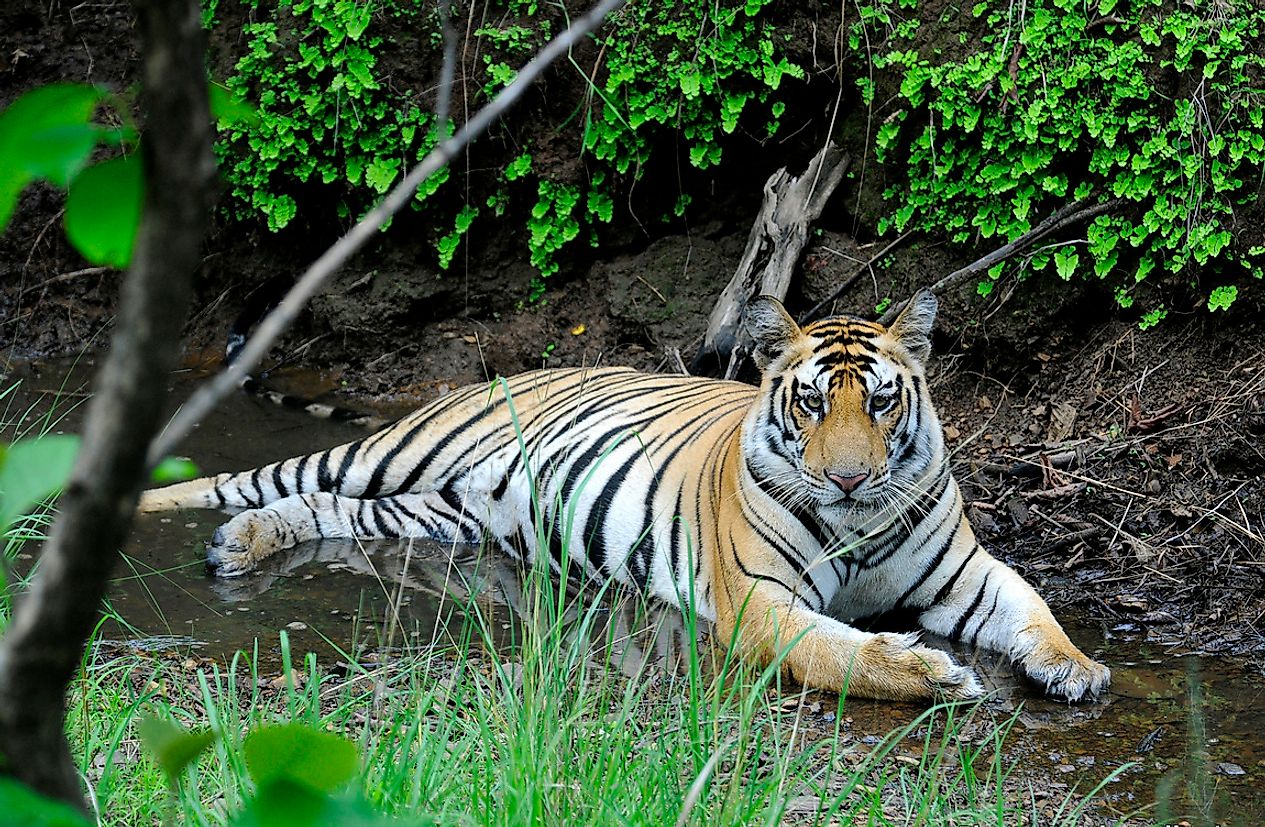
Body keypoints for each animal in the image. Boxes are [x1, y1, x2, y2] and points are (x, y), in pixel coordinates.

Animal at [138, 292, 1108, 708]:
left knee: (326, 509)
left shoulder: (967, 575)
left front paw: (1075, 667)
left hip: (438, 510)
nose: (845, 478)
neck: (859, 523)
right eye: (807, 402)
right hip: (390, 454)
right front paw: (928, 673)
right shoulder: (761, 600)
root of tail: (497, 374)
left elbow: (1033, 607)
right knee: (261, 477)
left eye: (877, 401)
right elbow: (835, 651)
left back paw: (240, 543)